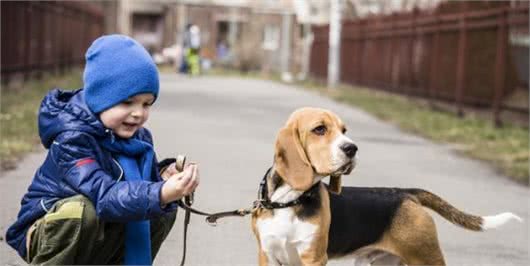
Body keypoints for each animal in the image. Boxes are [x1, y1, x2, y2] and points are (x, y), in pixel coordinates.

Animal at [251, 107, 520, 264]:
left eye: (344, 130)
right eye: (319, 129)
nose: (352, 148)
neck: (289, 200)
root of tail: (406, 193)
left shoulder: (314, 257)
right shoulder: (267, 255)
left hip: (426, 256)